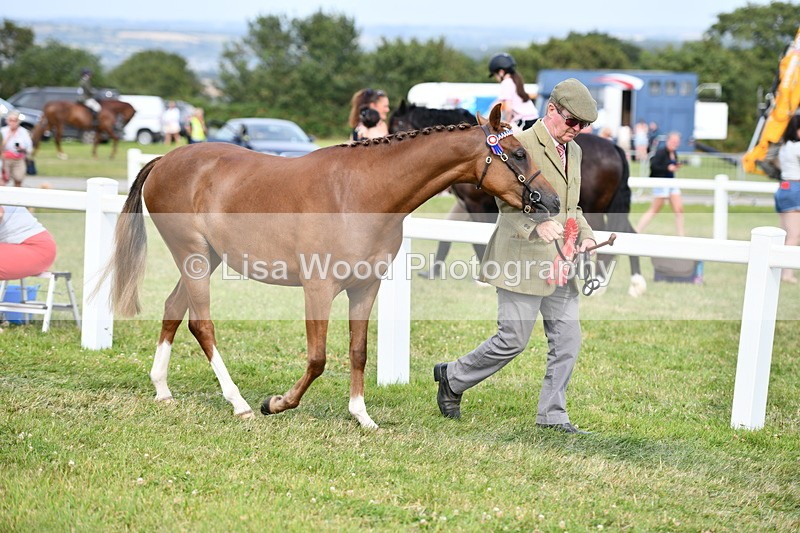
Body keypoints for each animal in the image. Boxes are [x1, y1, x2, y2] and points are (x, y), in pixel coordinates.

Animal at [101, 104, 560, 428]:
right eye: (518, 153)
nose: (552, 201)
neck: (362, 193)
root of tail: (164, 160)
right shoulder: (318, 288)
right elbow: (319, 358)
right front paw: (278, 403)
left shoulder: (365, 288)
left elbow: (358, 351)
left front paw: (362, 416)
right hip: (193, 257)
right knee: (201, 324)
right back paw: (240, 403)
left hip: (204, 260)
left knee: (173, 310)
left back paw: (162, 390)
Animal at [388, 102, 646, 297]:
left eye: (396, 124)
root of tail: (614, 147)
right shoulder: (466, 205)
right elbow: (450, 234)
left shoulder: (476, 205)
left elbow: (477, 237)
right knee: (626, 233)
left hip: (595, 208)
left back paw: (611, 281)